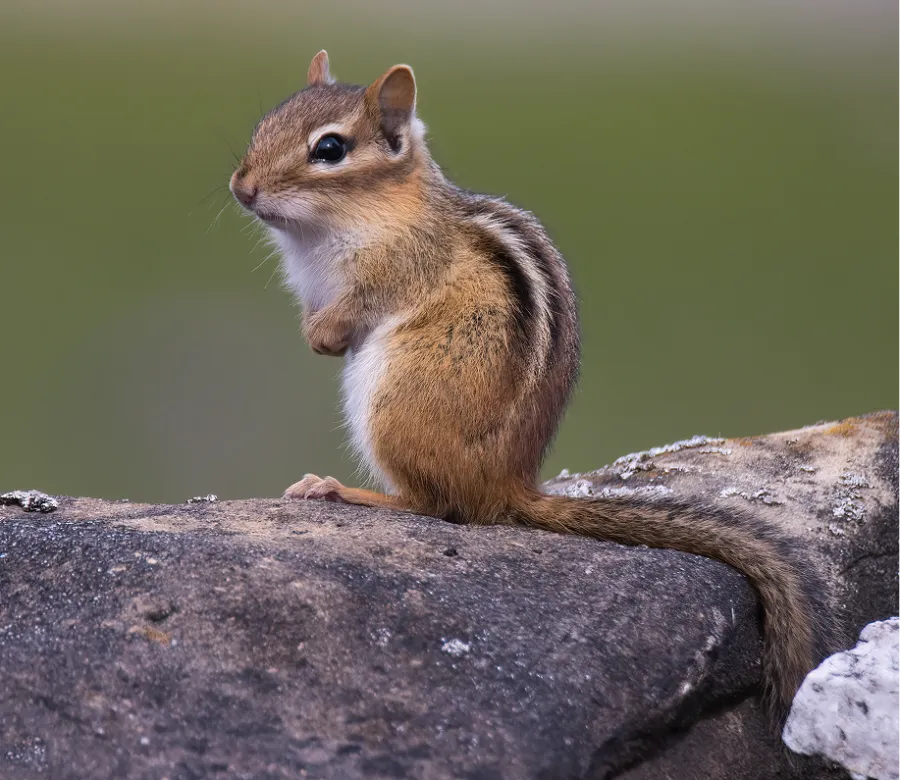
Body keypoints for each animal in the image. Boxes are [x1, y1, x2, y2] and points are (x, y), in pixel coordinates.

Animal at [230, 50, 839, 729]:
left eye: (330, 149)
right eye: (263, 126)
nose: (241, 188)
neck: (356, 217)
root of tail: (509, 485)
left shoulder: (393, 268)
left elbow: (357, 309)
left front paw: (324, 337)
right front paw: (313, 333)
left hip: (390, 405)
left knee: (437, 507)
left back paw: (342, 490)